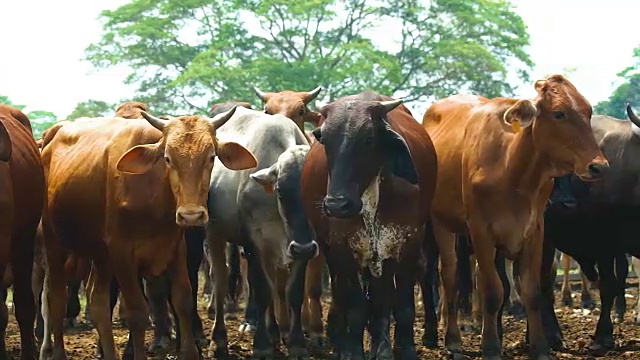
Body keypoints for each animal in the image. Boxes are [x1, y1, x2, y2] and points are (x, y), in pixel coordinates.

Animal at [38, 107, 255, 360]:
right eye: (168, 158)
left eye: (211, 157)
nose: (191, 215)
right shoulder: (122, 253)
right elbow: (137, 312)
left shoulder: (175, 249)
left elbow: (182, 301)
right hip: (55, 244)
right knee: (56, 298)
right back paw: (57, 352)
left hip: (100, 256)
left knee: (97, 301)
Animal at [302, 90, 438, 360]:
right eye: (323, 139)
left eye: (369, 138)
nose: (337, 205)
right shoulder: (343, 246)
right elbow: (355, 306)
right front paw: (353, 350)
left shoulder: (407, 241)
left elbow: (401, 303)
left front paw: (402, 349)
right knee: (345, 297)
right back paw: (343, 343)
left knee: (382, 299)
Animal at [422, 74, 608, 358]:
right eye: (559, 113)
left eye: (588, 112)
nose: (599, 166)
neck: (513, 168)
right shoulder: (481, 231)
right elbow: (491, 291)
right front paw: (490, 347)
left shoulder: (535, 231)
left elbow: (531, 291)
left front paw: (540, 347)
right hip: (441, 222)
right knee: (450, 275)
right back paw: (452, 339)